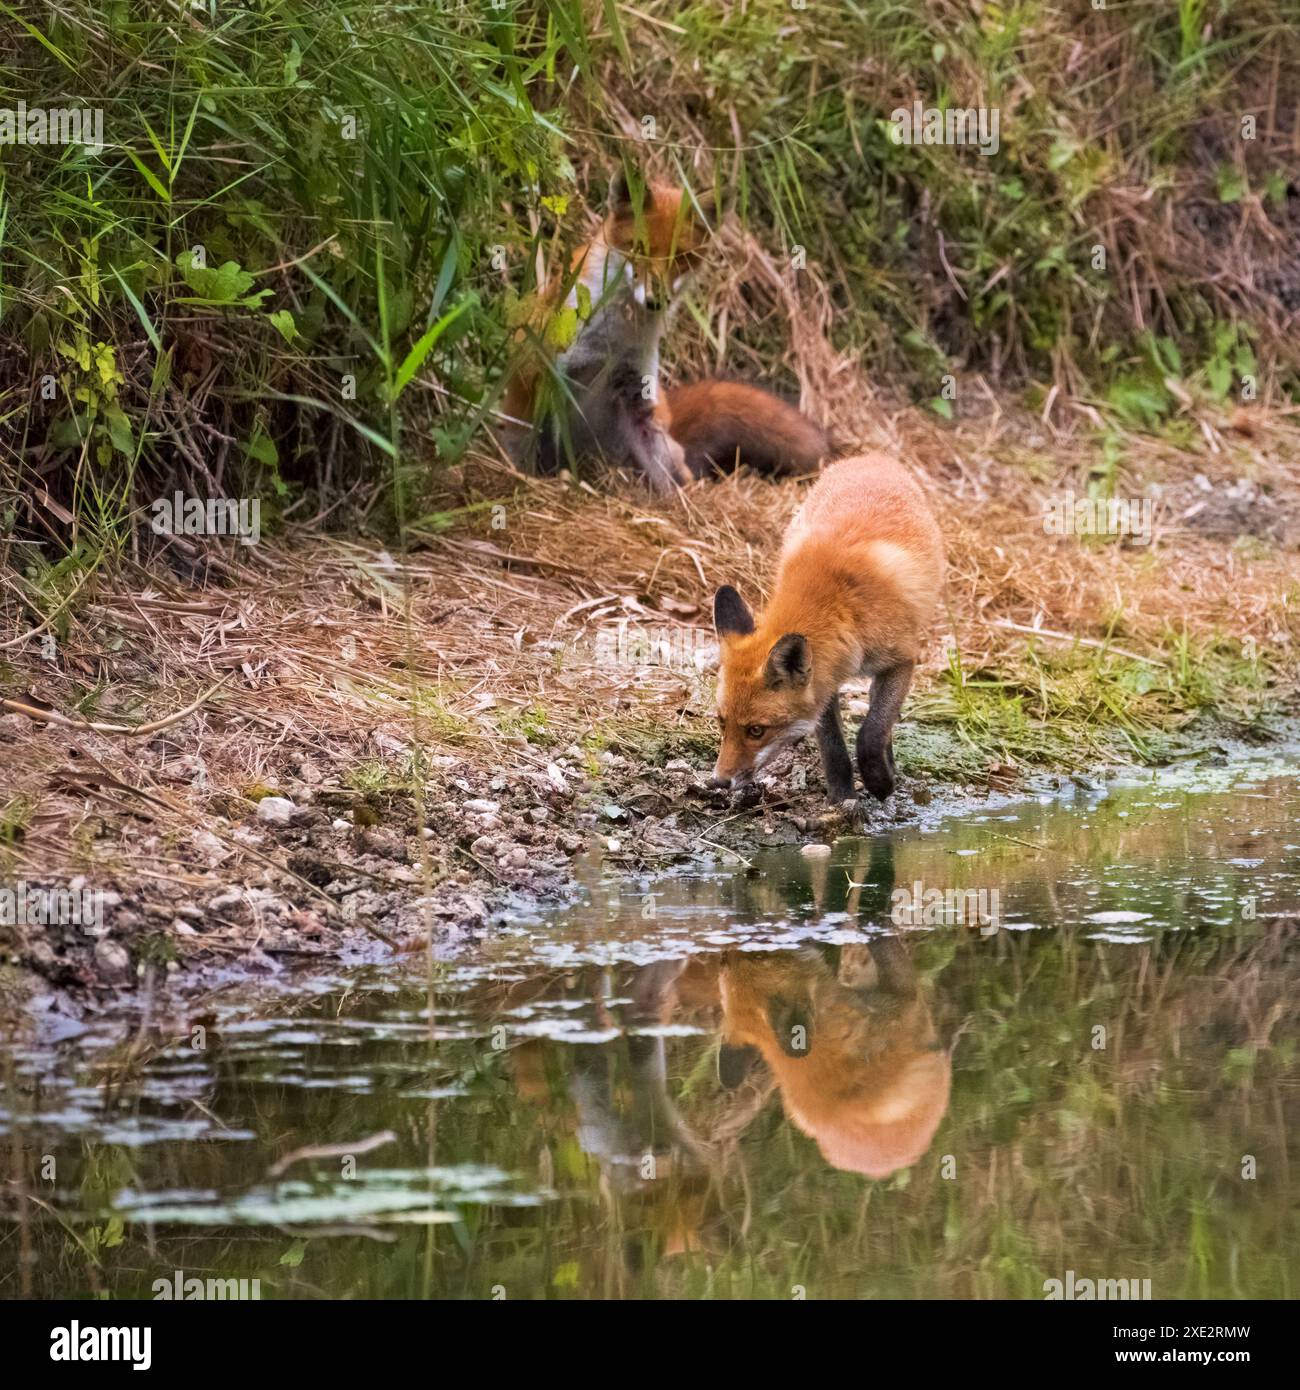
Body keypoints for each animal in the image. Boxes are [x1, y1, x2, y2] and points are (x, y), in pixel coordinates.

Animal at [503, 171, 828, 492]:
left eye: (681, 257)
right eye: (639, 248)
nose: (655, 301)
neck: (616, 336)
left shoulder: (636, 390)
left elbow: (663, 465)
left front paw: (684, 500)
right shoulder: (544, 371)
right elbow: (533, 443)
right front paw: (532, 481)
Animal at [711, 453, 945, 806]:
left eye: (756, 730)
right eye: (722, 722)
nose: (719, 782)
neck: (837, 607)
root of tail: (871, 457)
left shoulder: (902, 659)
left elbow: (872, 732)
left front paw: (880, 783)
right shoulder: (824, 679)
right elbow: (833, 746)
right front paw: (841, 796)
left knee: (880, 717)